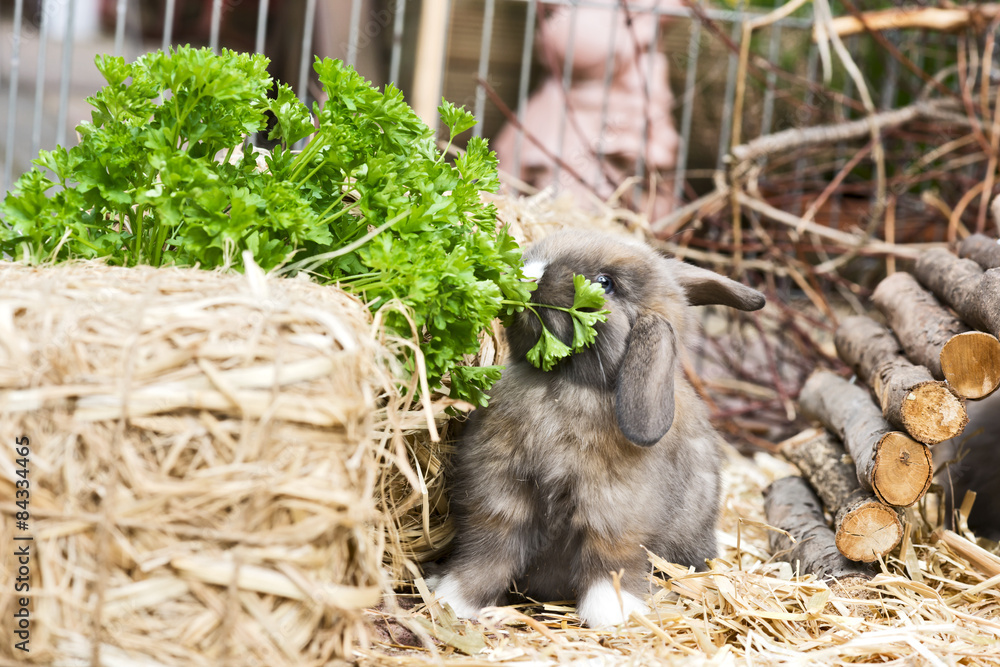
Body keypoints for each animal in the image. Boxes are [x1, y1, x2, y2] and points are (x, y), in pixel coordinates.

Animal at [432, 230, 766, 628]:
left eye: (605, 283)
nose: (528, 273)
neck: (565, 384)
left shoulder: (614, 515)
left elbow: (609, 566)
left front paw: (614, 616)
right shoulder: (498, 499)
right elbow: (485, 555)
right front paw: (451, 601)